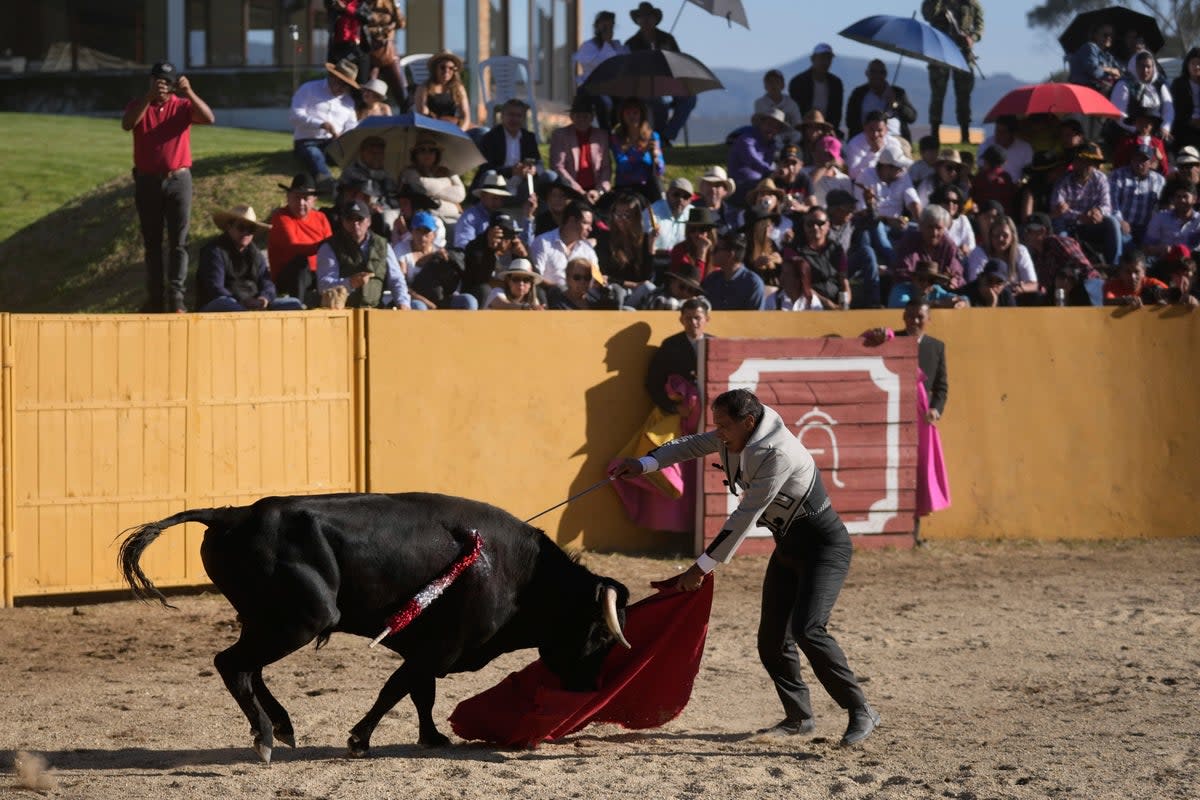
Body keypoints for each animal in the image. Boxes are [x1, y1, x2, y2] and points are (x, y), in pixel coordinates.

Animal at [117, 494, 633, 762]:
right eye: (600, 634)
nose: (593, 688)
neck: (523, 575)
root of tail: (232, 514)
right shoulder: (437, 649)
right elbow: (395, 690)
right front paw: (359, 740)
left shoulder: (426, 648)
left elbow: (420, 693)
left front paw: (432, 737)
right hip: (300, 621)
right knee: (232, 665)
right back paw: (265, 737)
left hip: (267, 622)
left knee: (248, 667)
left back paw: (281, 726)